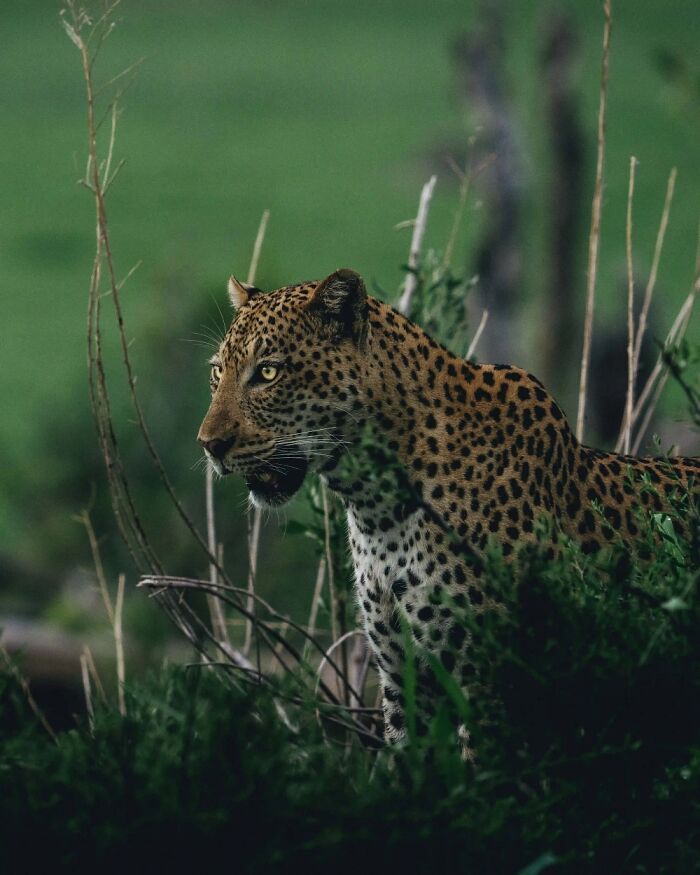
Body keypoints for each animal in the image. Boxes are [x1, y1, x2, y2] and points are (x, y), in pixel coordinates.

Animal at [197, 268, 699, 747]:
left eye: (267, 373)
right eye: (217, 372)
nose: (208, 445)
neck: (376, 507)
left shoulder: (489, 683)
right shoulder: (403, 678)